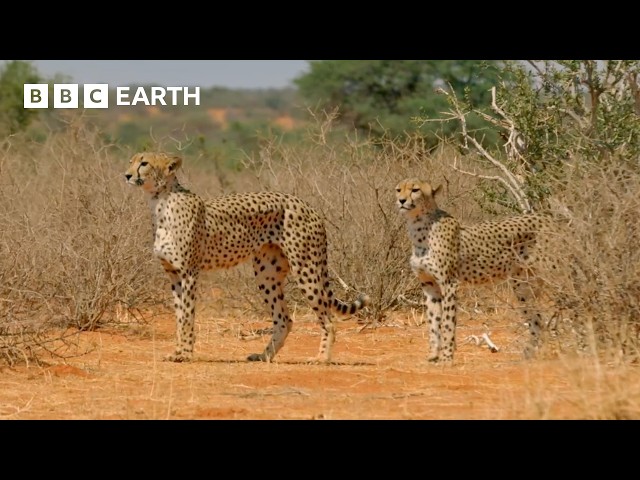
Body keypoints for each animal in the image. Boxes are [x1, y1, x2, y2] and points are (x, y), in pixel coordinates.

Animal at [124, 152, 369, 363]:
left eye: (144, 163)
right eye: (132, 160)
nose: (126, 175)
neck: (160, 201)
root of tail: (307, 204)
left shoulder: (189, 273)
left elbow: (187, 316)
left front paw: (184, 354)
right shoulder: (173, 274)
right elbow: (178, 316)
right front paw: (177, 351)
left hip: (306, 269)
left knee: (328, 319)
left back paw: (322, 358)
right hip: (267, 274)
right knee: (284, 318)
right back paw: (264, 356)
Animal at [395, 177, 558, 365]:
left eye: (415, 190)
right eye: (398, 190)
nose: (401, 201)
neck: (419, 226)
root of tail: (549, 218)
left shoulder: (449, 284)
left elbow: (447, 323)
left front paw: (446, 358)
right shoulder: (430, 286)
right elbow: (433, 322)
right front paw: (433, 355)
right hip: (523, 287)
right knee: (537, 319)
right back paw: (529, 355)